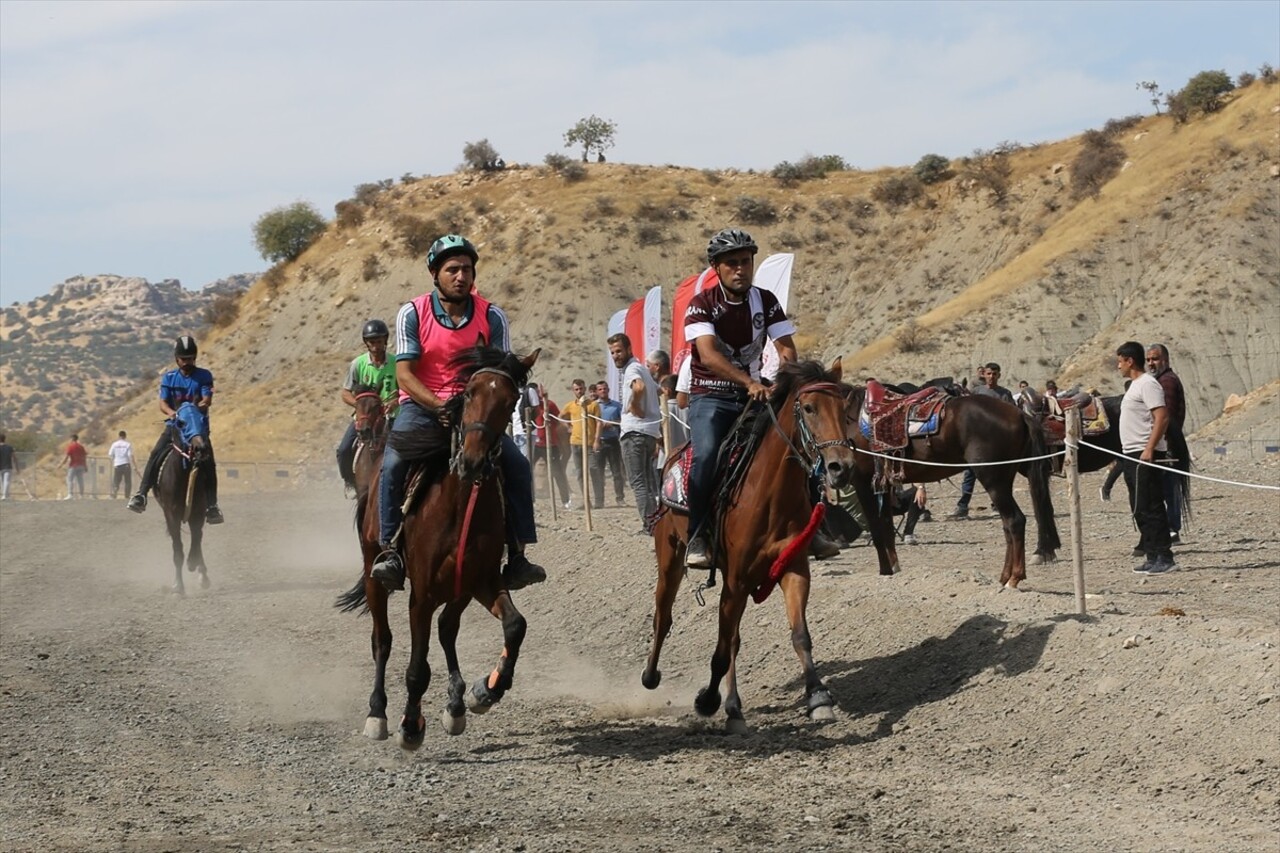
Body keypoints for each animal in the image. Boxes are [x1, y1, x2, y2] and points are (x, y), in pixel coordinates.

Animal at [332, 343, 537, 747]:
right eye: (469, 393)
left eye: (510, 401)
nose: (472, 460)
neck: (458, 506)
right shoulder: (422, 594)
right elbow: (417, 667)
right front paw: (410, 725)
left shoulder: (479, 581)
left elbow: (514, 626)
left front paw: (486, 689)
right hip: (374, 572)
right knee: (382, 639)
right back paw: (378, 713)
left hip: (457, 589)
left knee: (446, 628)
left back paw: (456, 704)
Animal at [645, 358, 855, 732]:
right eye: (810, 408)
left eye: (845, 409)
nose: (840, 467)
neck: (769, 496)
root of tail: (670, 458)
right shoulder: (736, 580)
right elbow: (721, 651)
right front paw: (707, 701)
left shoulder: (793, 568)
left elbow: (799, 636)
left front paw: (818, 697)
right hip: (669, 558)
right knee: (663, 615)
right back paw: (653, 676)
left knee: (730, 639)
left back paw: (734, 706)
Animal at [839, 389, 1059, 589]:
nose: (838, 470)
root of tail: (1020, 414)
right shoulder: (883, 486)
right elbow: (886, 529)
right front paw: (895, 569)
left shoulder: (863, 483)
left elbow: (877, 530)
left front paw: (885, 571)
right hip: (1012, 476)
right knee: (1009, 524)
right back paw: (1005, 576)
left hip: (993, 480)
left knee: (1015, 521)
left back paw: (1014, 578)